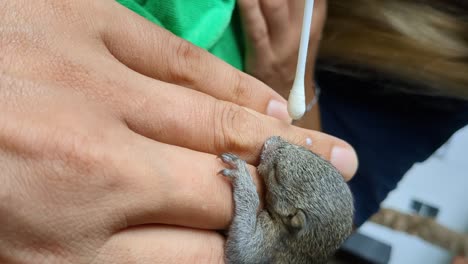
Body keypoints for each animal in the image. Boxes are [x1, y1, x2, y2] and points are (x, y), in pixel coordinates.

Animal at [219, 137, 354, 262]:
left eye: (276, 176)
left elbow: (242, 253)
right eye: (312, 153)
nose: (269, 142)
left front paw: (242, 175)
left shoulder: (271, 238)